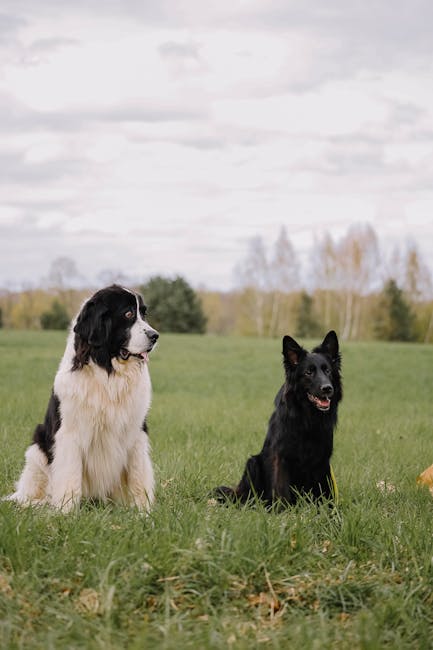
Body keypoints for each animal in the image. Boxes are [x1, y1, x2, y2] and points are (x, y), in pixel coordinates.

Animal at [5, 284, 159, 512]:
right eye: (129, 314)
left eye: (144, 313)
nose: (155, 335)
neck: (108, 374)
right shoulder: (69, 433)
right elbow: (69, 475)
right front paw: (65, 512)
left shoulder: (136, 431)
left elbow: (139, 474)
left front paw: (143, 511)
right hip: (37, 448)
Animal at [214, 330, 342, 506]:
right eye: (308, 372)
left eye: (327, 371)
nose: (327, 388)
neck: (307, 418)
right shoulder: (280, 457)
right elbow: (281, 490)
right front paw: (282, 511)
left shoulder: (322, 461)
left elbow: (324, 493)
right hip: (253, 463)